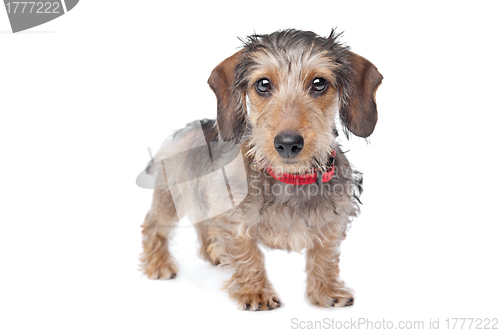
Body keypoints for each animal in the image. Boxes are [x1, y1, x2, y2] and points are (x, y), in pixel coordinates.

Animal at [141, 28, 382, 308]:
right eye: (263, 84)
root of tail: (185, 130)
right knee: (153, 225)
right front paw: (255, 292)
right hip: (170, 199)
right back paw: (159, 264)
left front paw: (327, 290)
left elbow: (325, 256)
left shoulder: (332, 222)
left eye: (319, 83)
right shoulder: (233, 220)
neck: (289, 179)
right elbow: (247, 255)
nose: (287, 143)